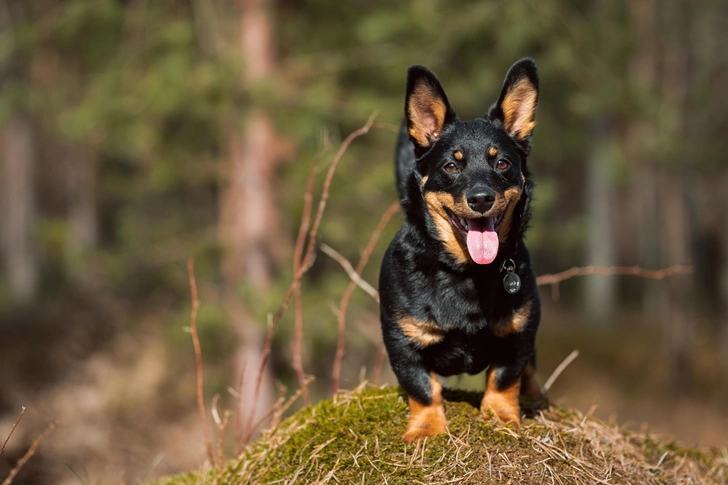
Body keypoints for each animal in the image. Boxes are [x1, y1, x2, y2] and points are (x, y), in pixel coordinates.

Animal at [382, 57, 544, 442]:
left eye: (502, 163)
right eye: (451, 165)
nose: (481, 198)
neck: (467, 272)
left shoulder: (520, 332)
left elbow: (505, 377)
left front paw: (500, 416)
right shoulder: (401, 342)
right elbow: (423, 387)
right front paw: (427, 428)